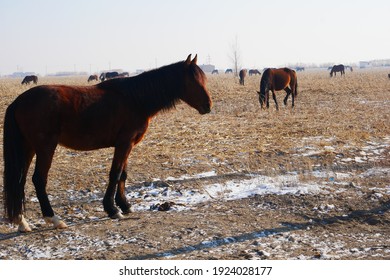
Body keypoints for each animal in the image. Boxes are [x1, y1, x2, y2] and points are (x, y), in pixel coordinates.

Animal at [3, 54, 212, 232]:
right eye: (193, 81)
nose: (208, 106)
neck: (135, 99)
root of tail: (19, 101)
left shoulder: (127, 145)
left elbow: (123, 175)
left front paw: (125, 205)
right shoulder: (124, 144)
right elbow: (115, 174)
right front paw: (112, 209)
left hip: (28, 148)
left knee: (20, 181)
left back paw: (22, 222)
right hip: (45, 147)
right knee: (39, 179)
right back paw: (53, 219)